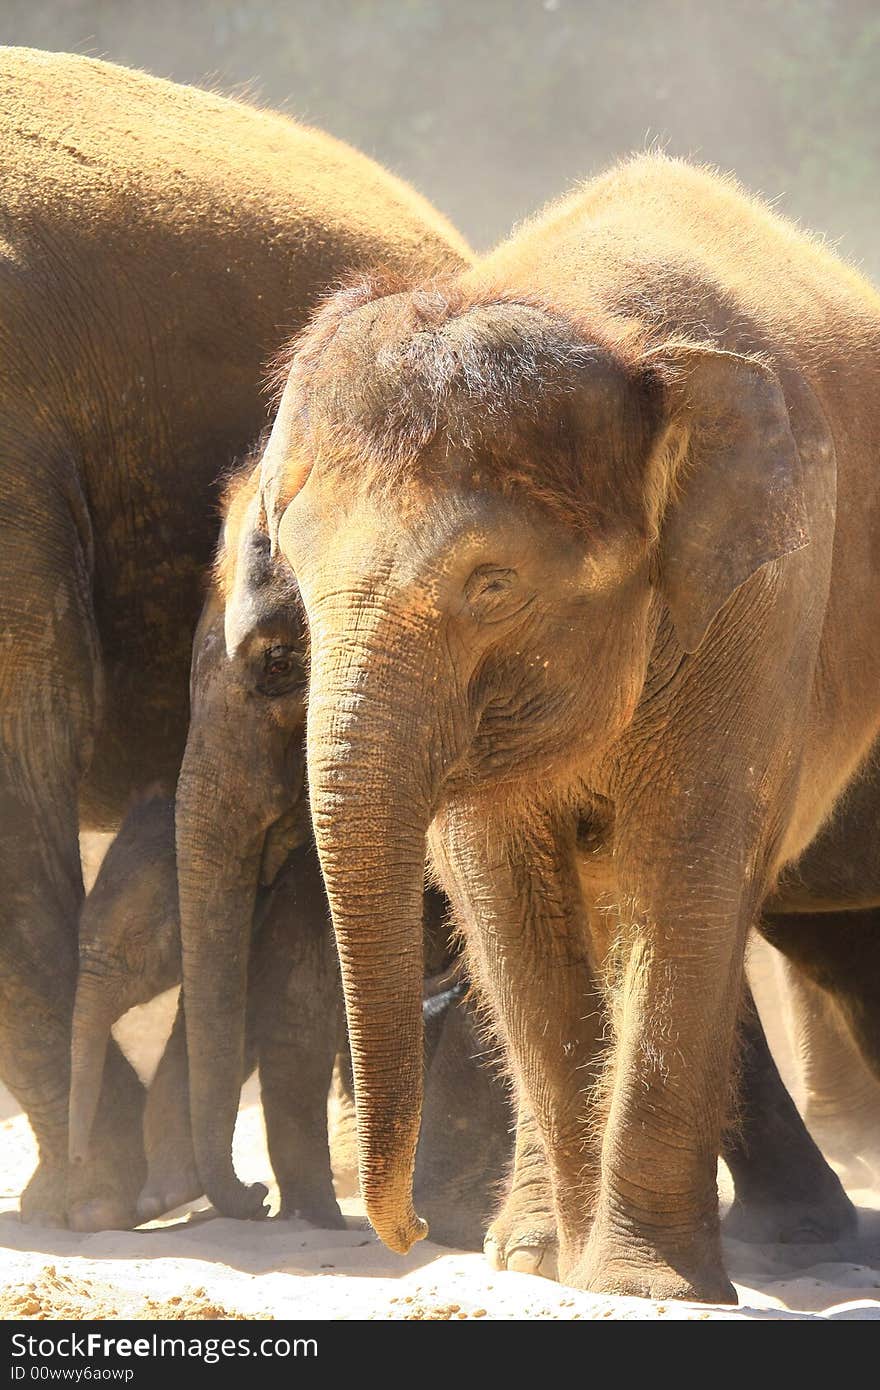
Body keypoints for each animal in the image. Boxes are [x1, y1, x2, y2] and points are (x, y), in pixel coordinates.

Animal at [246, 154, 878, 1301]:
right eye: (292, 575)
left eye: (491, 583)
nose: (406, 1232)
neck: (599, 324)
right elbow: (498, 874)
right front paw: (572, 1272)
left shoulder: (769, 585)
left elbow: (691, 856)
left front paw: (640, 1288)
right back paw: (533, 1248)